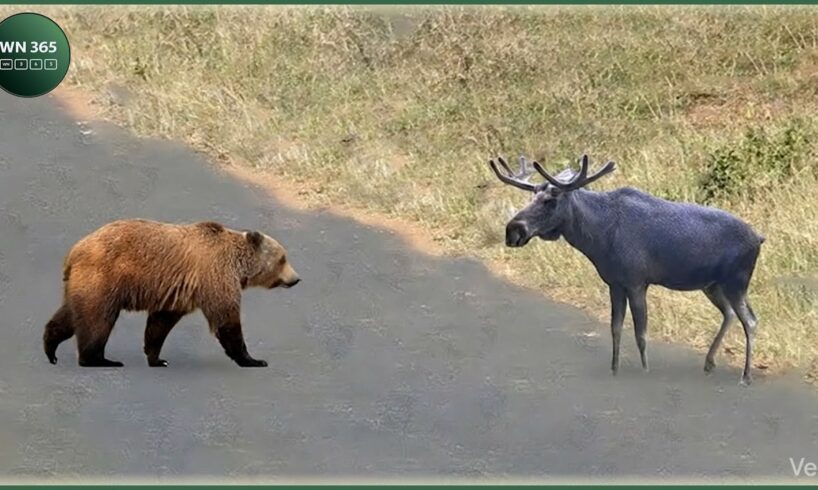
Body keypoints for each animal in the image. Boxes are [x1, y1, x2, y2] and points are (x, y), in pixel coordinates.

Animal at [42, 219, 300, 368]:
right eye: (283, 258)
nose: (296, 278)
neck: (238, 266)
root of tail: (75, 250)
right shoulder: (215, 276)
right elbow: (226, 319)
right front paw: (253, 359)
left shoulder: (179, 291)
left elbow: (160, 323)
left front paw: (157, 358)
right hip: (105, 277)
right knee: (97, 319)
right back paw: (99, 359)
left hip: (84, 282)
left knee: (71, 314)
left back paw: (51, 348)